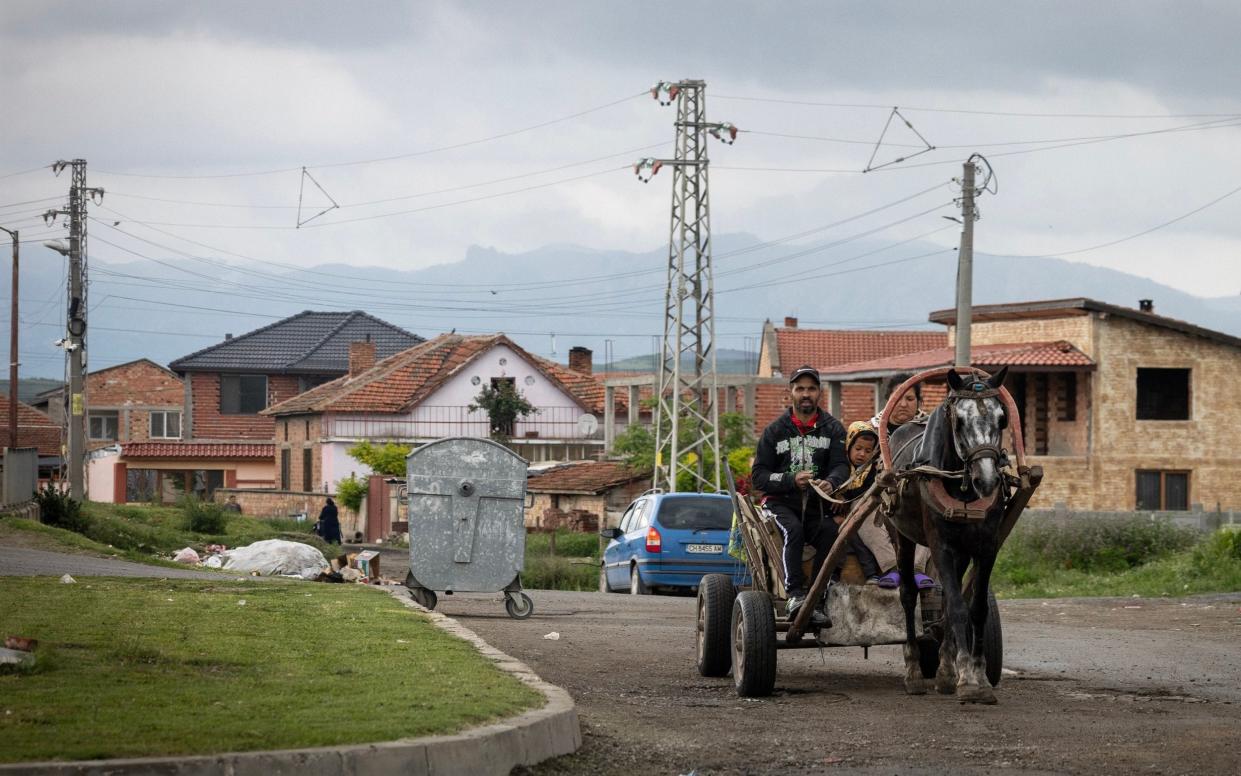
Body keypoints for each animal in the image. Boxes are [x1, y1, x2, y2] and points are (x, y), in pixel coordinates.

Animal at [883, 362, 1007, 700]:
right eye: (960, 420)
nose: (986, 480)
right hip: (901, 535)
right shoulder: (941, 546)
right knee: (908, 594)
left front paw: (972, 673)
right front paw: (967, 681)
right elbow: (956, 607)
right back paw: (914, 671)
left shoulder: (987, 547)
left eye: (1002, 417)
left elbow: (973, 608)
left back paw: (944, 669)